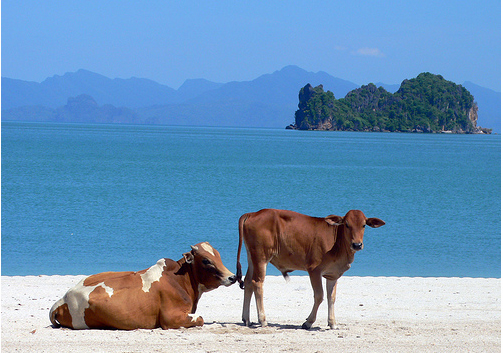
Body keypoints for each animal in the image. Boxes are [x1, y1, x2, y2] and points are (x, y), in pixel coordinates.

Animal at [49, 241, 236, 328]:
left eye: (218, 256)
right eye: (206, 260)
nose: (232, 277)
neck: (181, 280)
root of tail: (63, 298)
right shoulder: (171, 318)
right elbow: (201, 318)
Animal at [236, 209, 386, 328]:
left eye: (363, 225)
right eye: (347, 224)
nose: (357, 245)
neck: (337, 243)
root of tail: (253, 213)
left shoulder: (333, 274)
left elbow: (331, 297)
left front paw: (332, 323)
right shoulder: (314, 270)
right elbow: (319, 296)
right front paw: (308, 322)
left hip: (252, 257)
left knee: (248, 282)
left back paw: (246, 319)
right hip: (261, 257)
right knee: (257, 283)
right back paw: (262, 319)